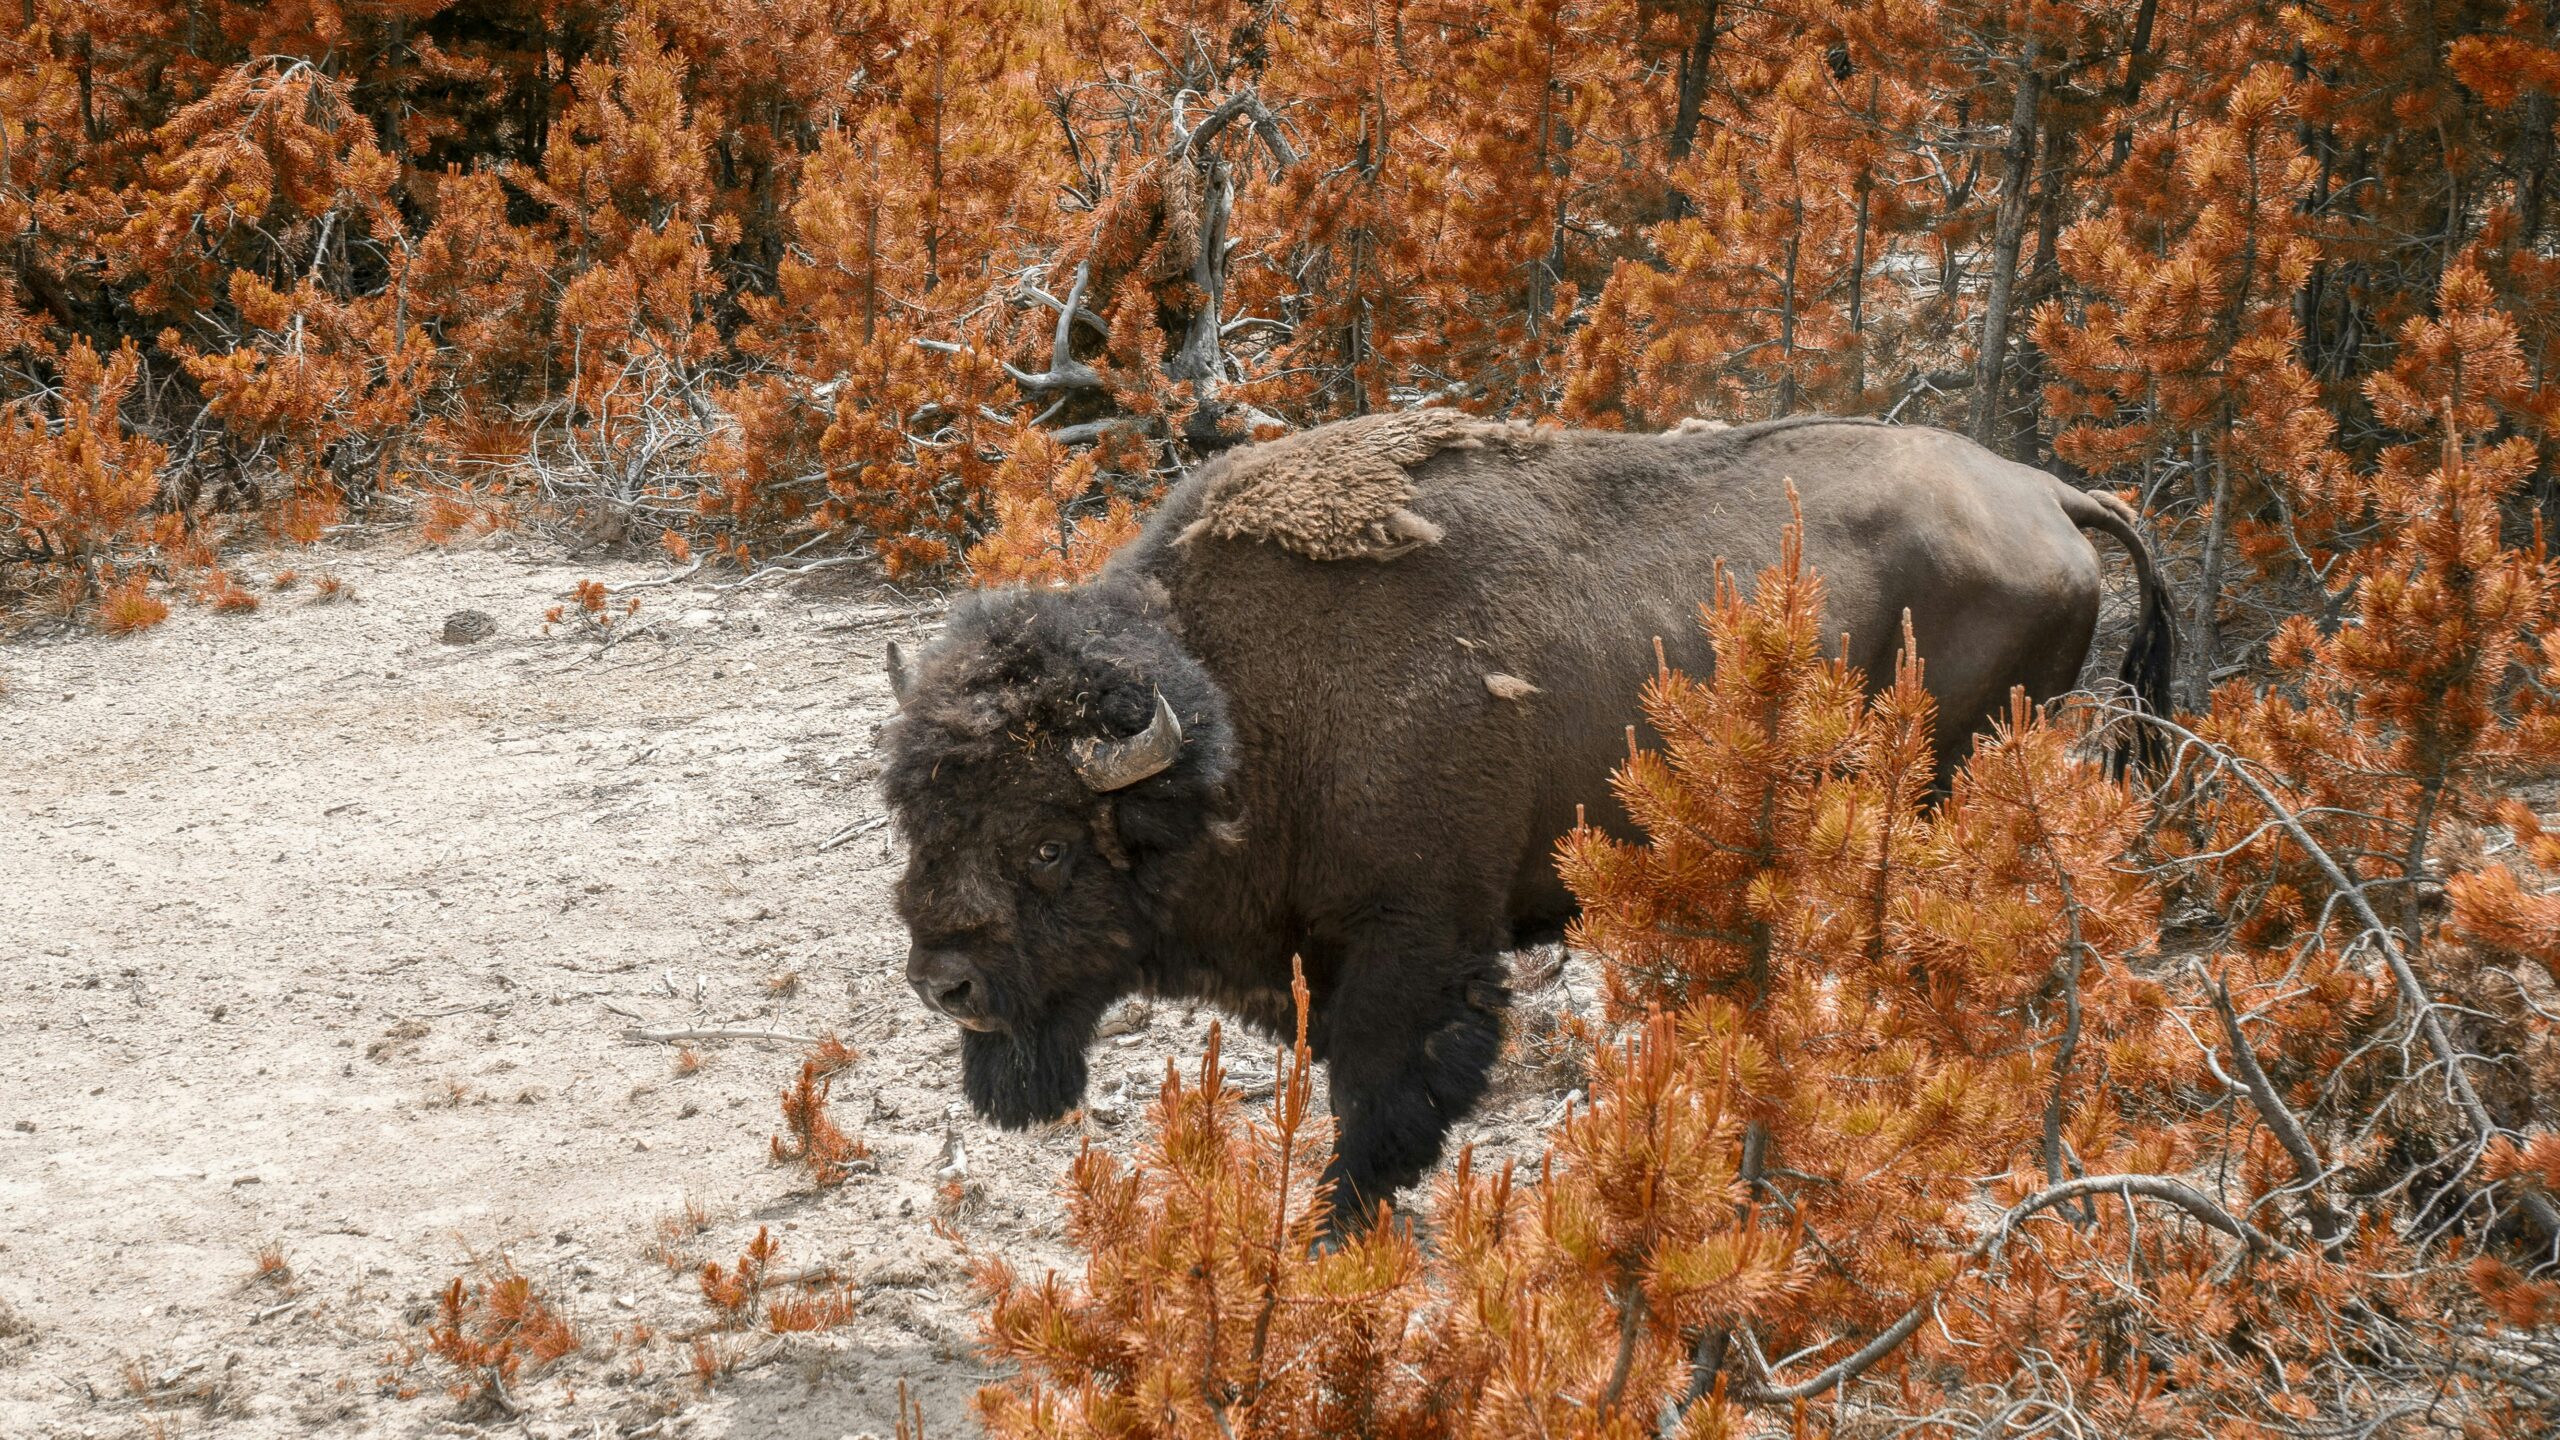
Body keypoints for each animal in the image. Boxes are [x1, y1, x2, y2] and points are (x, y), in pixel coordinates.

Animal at [875, 412, 2160, 1219]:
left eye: (1048, 844)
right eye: (916, 821)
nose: (942, 980)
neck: (1240, 718)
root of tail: (2046, 491)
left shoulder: (1417, 947)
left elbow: (1380, 1107)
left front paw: (1343, 1235)